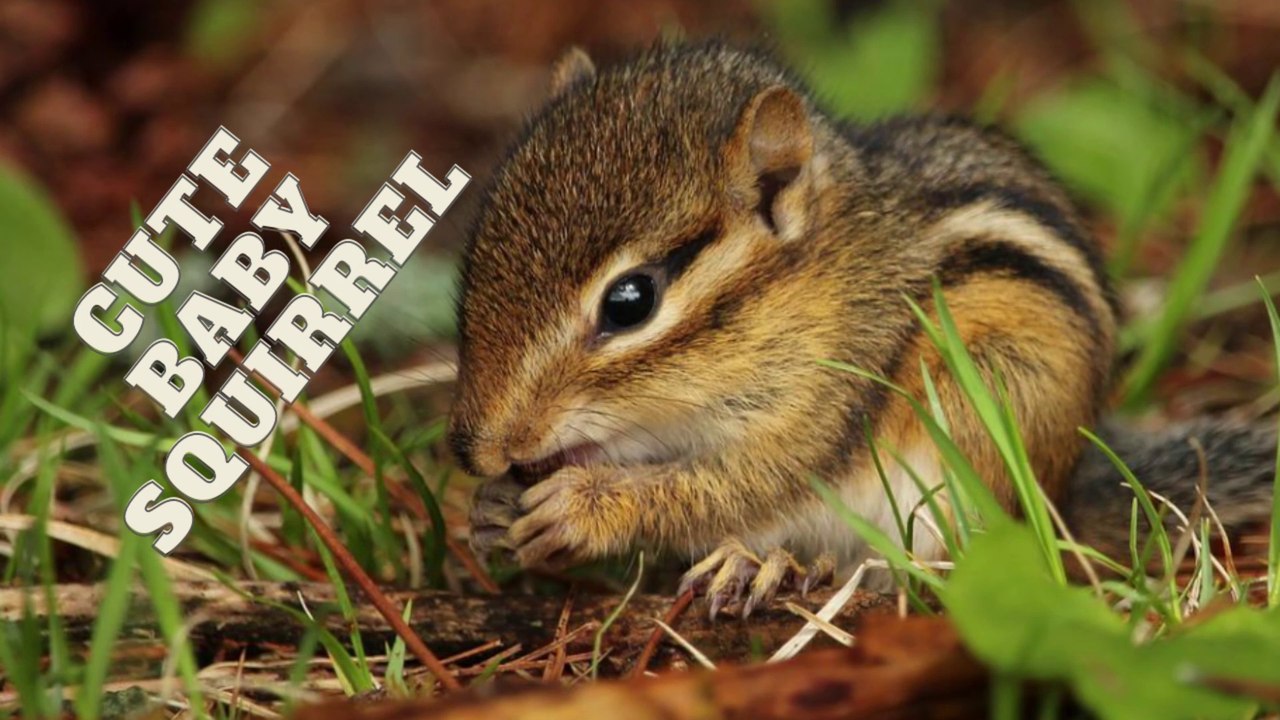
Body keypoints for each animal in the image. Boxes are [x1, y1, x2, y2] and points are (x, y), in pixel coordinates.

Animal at [446, 40, 1277, 613]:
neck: (804, 288)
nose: (475, 449)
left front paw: (588, 507)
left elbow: (739, 485)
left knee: (931, 568)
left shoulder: (834, 394)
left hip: (976, 429)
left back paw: (782, 566)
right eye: (478, 248)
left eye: (630, 301)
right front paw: (489, 513)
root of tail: (1063, 499)